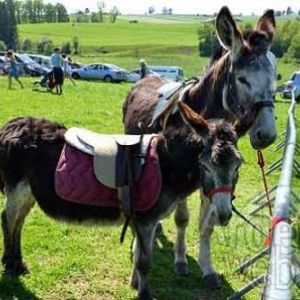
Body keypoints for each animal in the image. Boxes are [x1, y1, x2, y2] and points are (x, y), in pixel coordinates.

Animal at [0, 102, 241, 298]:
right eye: (206, 166)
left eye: (238, 165)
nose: (224, 215)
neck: (165, 163)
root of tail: (12, 124)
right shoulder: (146, 219)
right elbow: (144, 261)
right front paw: (144, 294)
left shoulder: (142, 218)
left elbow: (137, 252)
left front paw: (134, 283)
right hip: (18, 189)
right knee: (8, 219)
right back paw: (10, 266)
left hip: (29, 192)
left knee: (19, 221)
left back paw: (19, 263)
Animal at [123, 5, 278, 288]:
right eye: (242, 79)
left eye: (275, 78)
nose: (267, 134)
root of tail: (146, 75)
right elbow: (182, 218)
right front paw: (181, 262)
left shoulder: (211, 179)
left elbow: (207, 224)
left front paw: (207, 269)